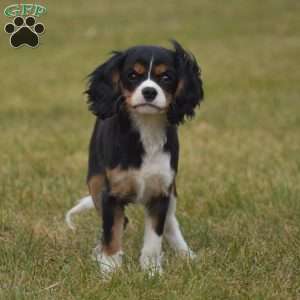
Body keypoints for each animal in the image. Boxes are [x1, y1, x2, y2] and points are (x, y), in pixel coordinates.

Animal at [65, 41, 204, 276]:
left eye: (166, 77)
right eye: (132, 75)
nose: (149, 91)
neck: (146, 129)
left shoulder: (161, 192)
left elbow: (155, 237)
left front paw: (151, 271)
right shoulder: (110, 193)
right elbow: (112, 231)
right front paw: (110, 268)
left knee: (170, 223)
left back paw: (185, 254)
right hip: (95, 182)